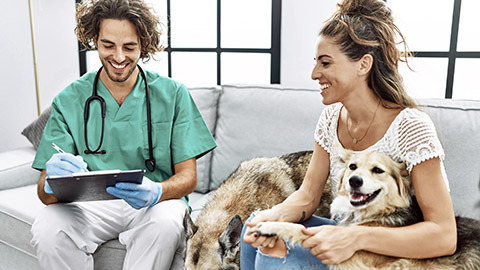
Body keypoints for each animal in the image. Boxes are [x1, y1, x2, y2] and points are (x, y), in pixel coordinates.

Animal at [246, 151, 480, 268]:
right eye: (352, 167)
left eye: (378, 170)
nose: (354, 180)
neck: (381, 212)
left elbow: (298, 230)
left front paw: (268, 226)